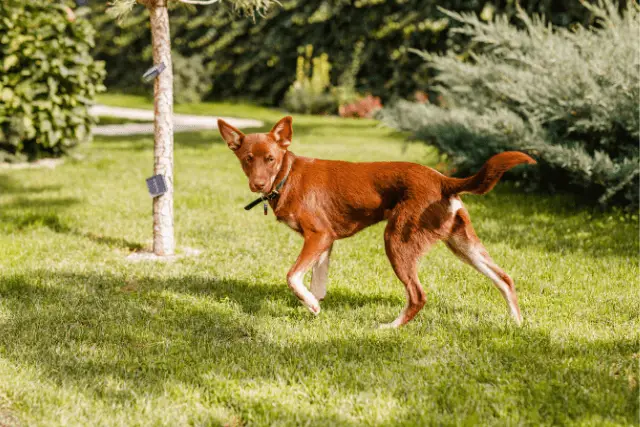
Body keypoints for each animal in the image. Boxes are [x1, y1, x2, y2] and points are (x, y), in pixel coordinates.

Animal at [219, 117, 536, 328]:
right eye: (248, 159)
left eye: (271, 159)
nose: (258, 184)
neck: (287, 175)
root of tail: (442, 179)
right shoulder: (326, 241)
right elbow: (317, 282)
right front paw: (314, 305)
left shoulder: (318, 235)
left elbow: (292, 276)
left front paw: (309, 304)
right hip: (462, 244)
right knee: (504, 278)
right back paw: (517, 323)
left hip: (396, 240)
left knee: (418, 296)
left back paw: (390, 328)